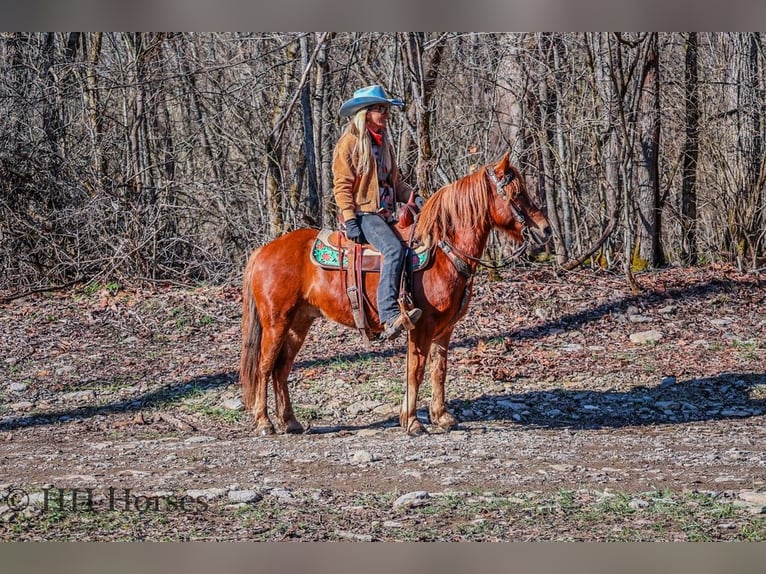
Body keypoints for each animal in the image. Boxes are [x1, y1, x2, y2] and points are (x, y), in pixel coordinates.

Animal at [239, 151, 551, 436]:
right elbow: (416, 370)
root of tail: (264, 251)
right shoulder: (421, 326)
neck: (443, 251)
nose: (545, 229)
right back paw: (264, 423)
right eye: (517, 192)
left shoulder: (445, 329)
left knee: (281, 369)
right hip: (276, 322)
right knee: (265, 367)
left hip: (299, 323)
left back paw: (290, 422)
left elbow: (439, 370)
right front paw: (412, 421)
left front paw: (441, 417)